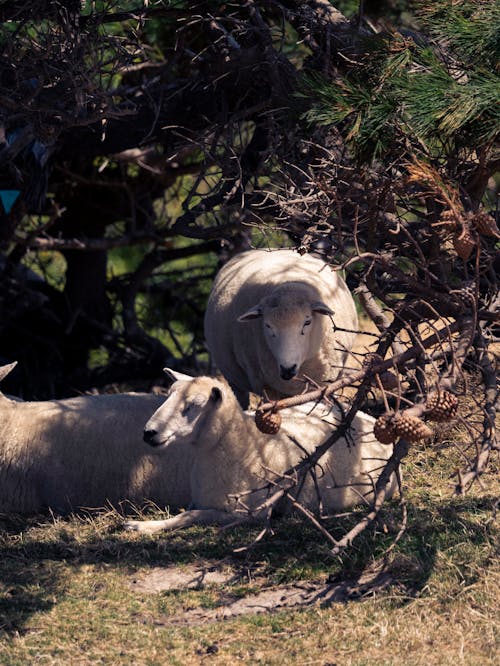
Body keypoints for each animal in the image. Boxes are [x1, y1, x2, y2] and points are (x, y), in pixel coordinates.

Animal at [124, 366, 394, 532]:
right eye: (168, 396)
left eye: (192, 406)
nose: (149, 433)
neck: (242, 447)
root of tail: (367, 417)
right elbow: (185, 511)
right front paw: (143, 525)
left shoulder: (249, 514)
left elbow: (190, 516)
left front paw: (141, 526)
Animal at [204, 248, 360, 404]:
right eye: (267, 325)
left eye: (307, 322)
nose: (287, 369)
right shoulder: (268, 389)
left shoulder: (325, 385)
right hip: (233, 380)